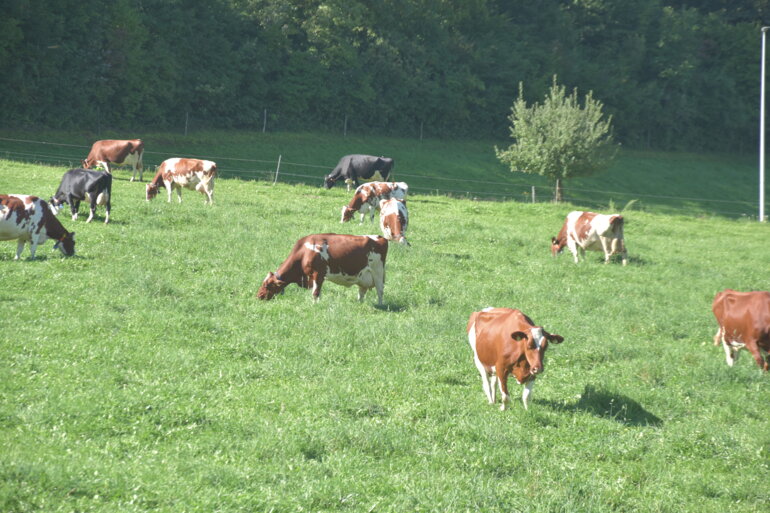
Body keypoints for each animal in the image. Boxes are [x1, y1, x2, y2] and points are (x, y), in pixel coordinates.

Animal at [257, 233, 388, 305]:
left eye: (267, 285)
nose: (258, 296)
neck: (303, 252)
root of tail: (381, 238)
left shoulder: (318, 274)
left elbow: (315, 293)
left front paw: (314, 305)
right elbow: (318, 292)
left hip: (378, 272)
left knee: (380, 290)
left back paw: (380, 305)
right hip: (363, 276)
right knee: (361, 292)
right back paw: (359, 303)